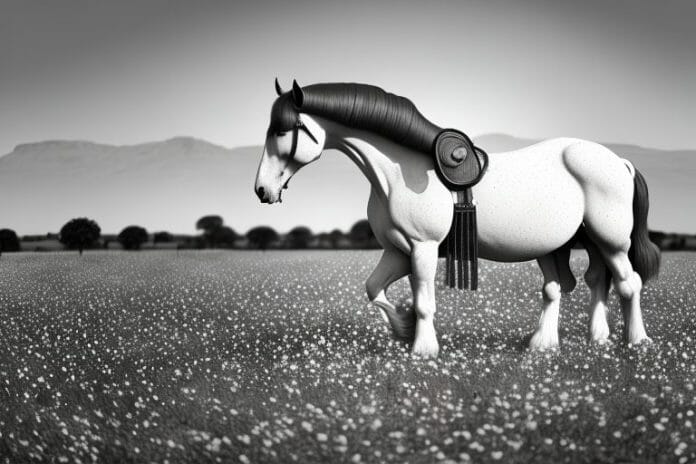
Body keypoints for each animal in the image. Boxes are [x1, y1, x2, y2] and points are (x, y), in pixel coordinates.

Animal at [254, 79, 661, 358]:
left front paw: (422, 348)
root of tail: (618, 161)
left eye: (282, 130)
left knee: (629, 284)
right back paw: (566, 342)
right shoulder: (399, 252)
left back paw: (637, 342)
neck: (397, 171)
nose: (262, 190)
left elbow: (423, 301)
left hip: (610, 241)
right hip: (565, 245)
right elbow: (374, 289)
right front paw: (403, 327)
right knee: (576, 285)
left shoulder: (422, 249)